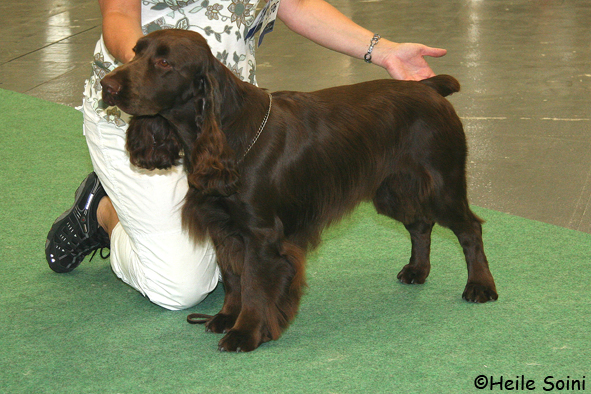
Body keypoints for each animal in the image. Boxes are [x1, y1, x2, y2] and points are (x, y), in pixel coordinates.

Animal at [100, 29, 494, 352]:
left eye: (165, 62)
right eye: (135, 52)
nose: (107, 85)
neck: (226, 133)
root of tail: (429, 87)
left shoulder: (261, 235)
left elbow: (254, 287)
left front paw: (245, 334)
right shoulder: (224, 229)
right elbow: (232, 280)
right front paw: (226, 317)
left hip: (442, 184)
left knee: (469, 228)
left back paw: (480, 286)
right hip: (392, 191)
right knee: (420, 224)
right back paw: (417, 270)